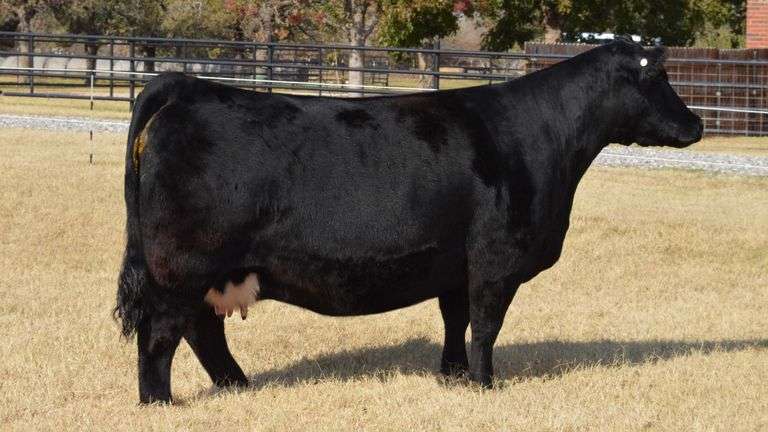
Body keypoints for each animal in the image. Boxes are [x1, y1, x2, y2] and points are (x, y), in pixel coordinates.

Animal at [115, 38, 702, 403]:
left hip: (207, 272)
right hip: (182, 268)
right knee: (161, 335)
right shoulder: (495, 261)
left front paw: (455, 377)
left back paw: (238, 385)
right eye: (658, 77)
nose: (697, 124)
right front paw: (486, 385)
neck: (542, 138)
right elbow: (487, 326)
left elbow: (456, 321)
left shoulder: (456, 264)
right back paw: (159, 403)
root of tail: (187, 86)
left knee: (201, 331)